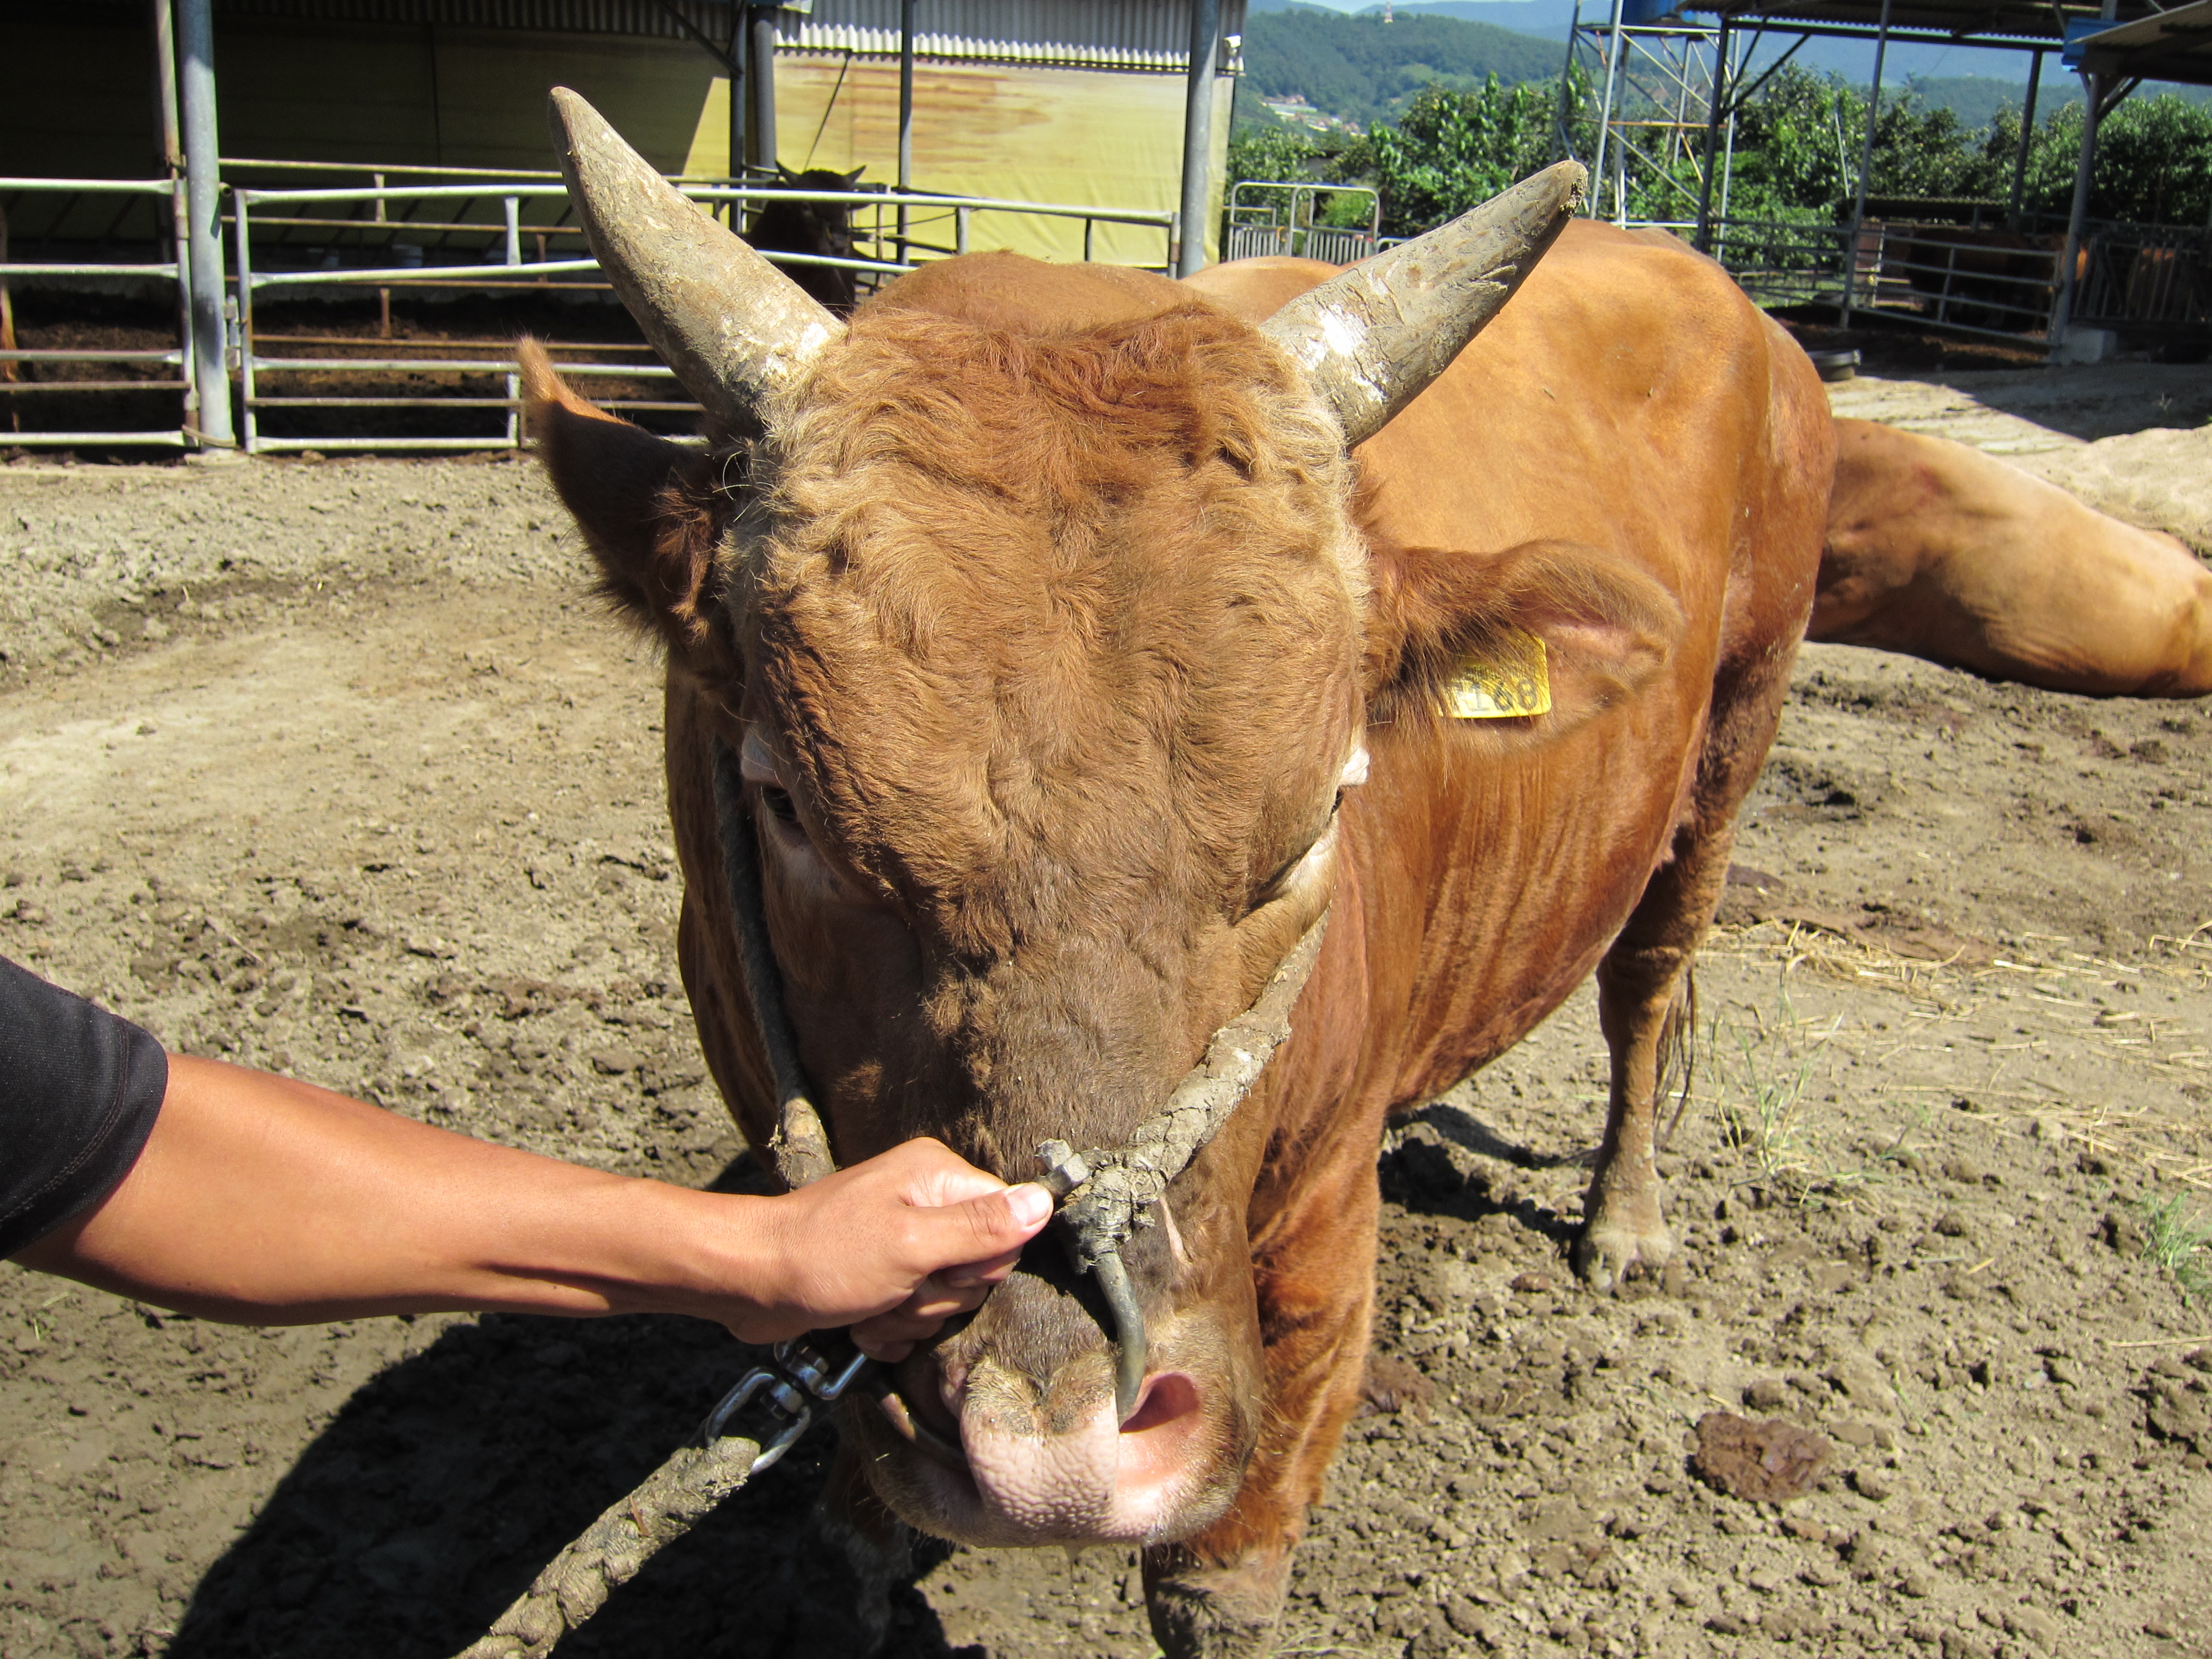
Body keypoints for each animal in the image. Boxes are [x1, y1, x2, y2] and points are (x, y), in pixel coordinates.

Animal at [518, 94, 1832, 1659]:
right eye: (784, 802)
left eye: (1322, 816)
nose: (1056, 1450)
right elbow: (849, 1517)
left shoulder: (1316, 1255)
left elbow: (1218, 1585)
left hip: (1734, 740)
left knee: (1645, 980)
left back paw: (1622, 1217)